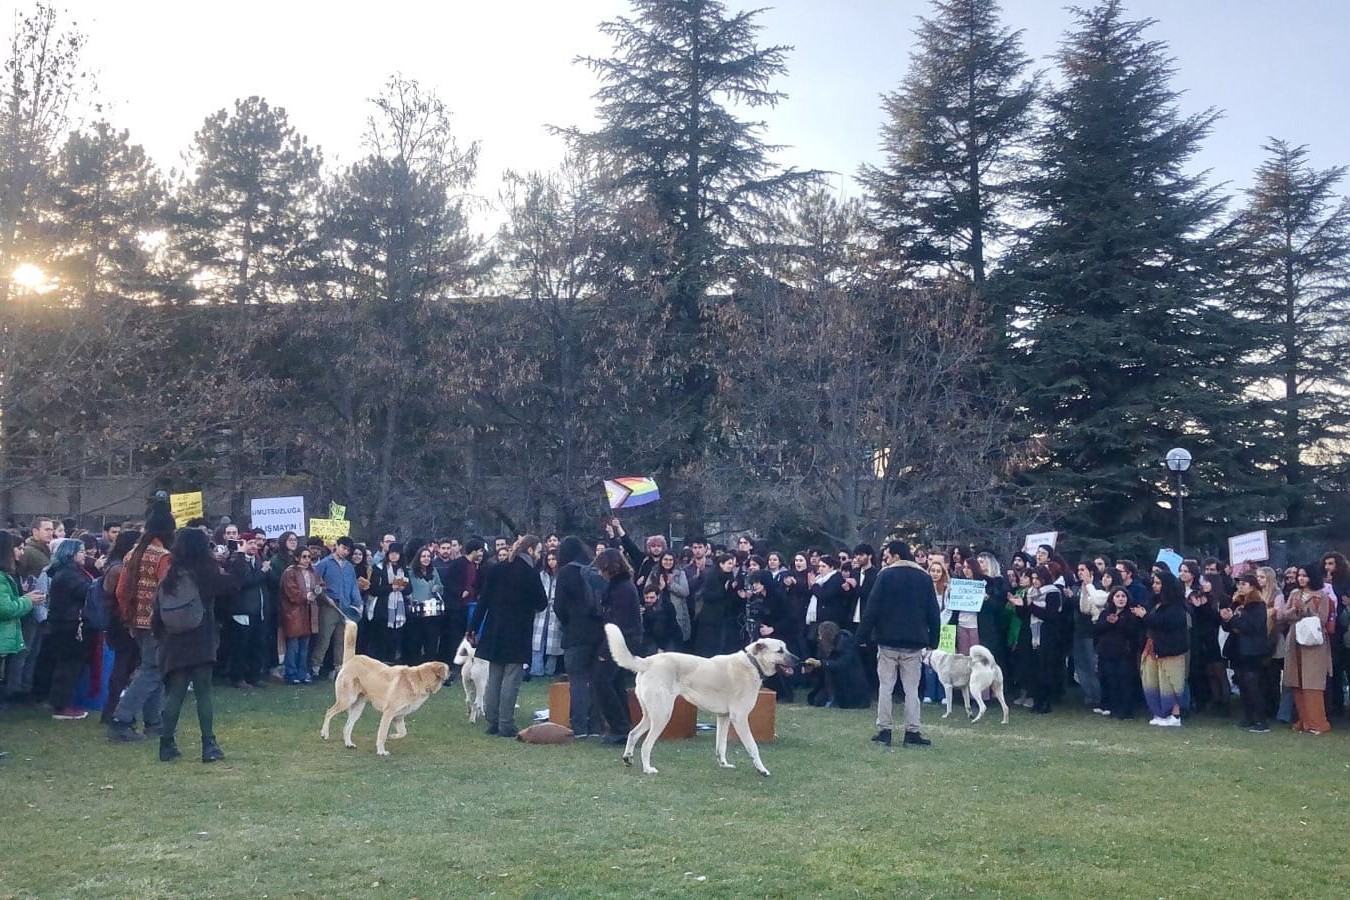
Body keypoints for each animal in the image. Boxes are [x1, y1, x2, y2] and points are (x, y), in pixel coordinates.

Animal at [319, 620, 448, 755]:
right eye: (448, 670)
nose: (454, 674)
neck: (420, 678)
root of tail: (352, 658)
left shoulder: (398, 717)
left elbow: (403, 733)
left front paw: (393, 736)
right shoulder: (388, 713)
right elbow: (382, 734)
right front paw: (381, 751)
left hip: (357, 708)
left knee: (347, 727)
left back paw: (349, 744)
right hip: (347, 700)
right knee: (329, 712)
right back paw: (324, 733)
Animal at [604, 623, 799, 777]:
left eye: (786, 648)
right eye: (780, 651)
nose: (798, 660)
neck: (752, 663)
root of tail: (648, 661)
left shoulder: (724, 717)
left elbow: (721, 745)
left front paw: (724, 764)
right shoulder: (740, 718)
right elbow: (753, 747)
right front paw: (762, 770)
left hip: (651, 715)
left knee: (633, 733)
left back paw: (628, 759)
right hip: (662, 715)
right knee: (645, 744)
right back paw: (648, 769)